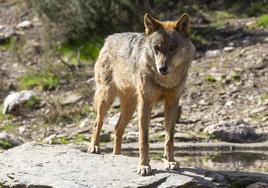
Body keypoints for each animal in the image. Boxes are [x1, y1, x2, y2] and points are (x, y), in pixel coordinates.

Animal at [89, 12, 196, 176]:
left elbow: (169, 138)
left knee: (117, 128)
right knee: (97, 122)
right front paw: (144, 166)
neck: (165, 81)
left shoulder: (172, 104)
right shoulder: (145, 105)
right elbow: (143, 139)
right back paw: (94, 147)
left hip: (130, 107)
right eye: (156, 48)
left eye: (173, 48)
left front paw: (170, 162)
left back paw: (117, 155)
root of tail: (109, 38)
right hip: (106, 98)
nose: (162, 68)